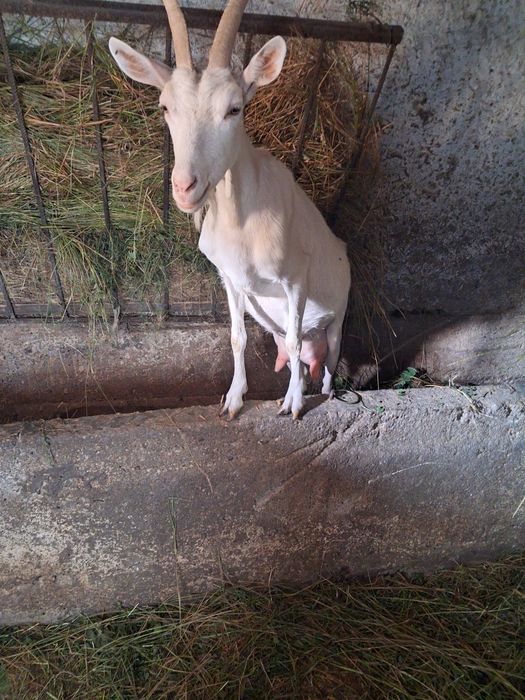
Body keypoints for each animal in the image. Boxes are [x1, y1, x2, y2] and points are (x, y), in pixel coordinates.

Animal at [109, 0, 351, 419]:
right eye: (165, 106)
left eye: (234, 109)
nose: (184, 186)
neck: (242, 224)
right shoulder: (230, 278)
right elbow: (238, 337)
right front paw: (233, 399)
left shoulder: (296, 279)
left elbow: (292, 337)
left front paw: (293, 404)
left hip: (338, 316)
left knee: (327, 356)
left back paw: (322, 390)